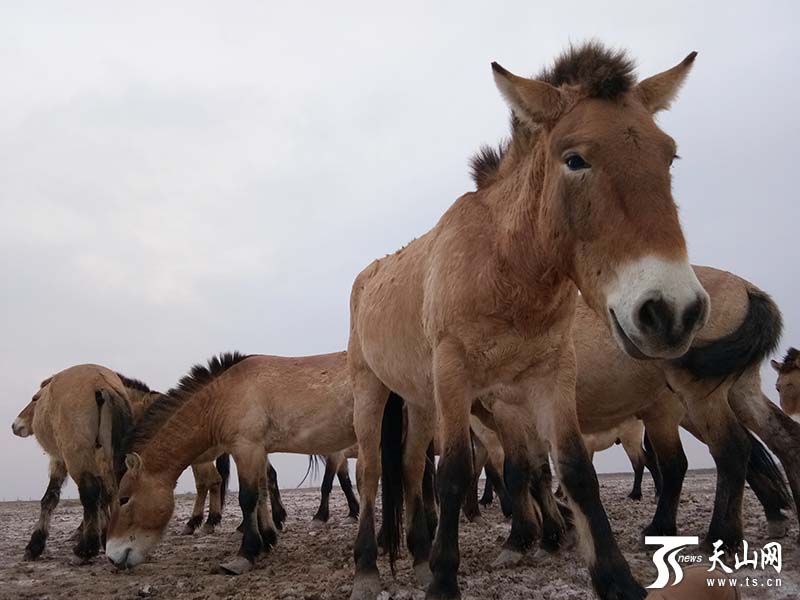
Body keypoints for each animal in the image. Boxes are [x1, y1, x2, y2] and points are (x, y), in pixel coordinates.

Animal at [104, 352, 360, 576]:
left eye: (124, 499)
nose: (111, 557)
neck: (224, 396)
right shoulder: (257, 452)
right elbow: (261, 494)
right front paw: (268, 539)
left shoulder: (246, 448)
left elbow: (247, 499)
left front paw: (246, 554)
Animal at [348, 43, 708, 600]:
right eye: (575, 159)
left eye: (668, 155)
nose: (672, 311)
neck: (505, 265)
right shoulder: (455, 377)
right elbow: (455, 471)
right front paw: (446, 581)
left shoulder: (551, 375)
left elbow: (574, 469)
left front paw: (616, 578)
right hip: (372, 390)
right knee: (370, 471)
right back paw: (369, 566)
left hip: (419, 399)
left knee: (407, 469)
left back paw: (420, 557)